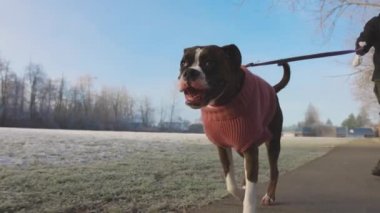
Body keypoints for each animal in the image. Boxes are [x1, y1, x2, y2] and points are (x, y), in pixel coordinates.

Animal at [178, 44, 290, 212]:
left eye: (209, 63)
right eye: (183, 63)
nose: (189, 72)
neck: (222, 104)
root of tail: (272, 89)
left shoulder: (250, 147)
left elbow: (250, 192)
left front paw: (248, 202)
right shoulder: (223, 147)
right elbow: (231, 184)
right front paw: (242, 193)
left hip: (272, 143)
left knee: (274, 171)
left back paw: (269, 196)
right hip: (241, 147)